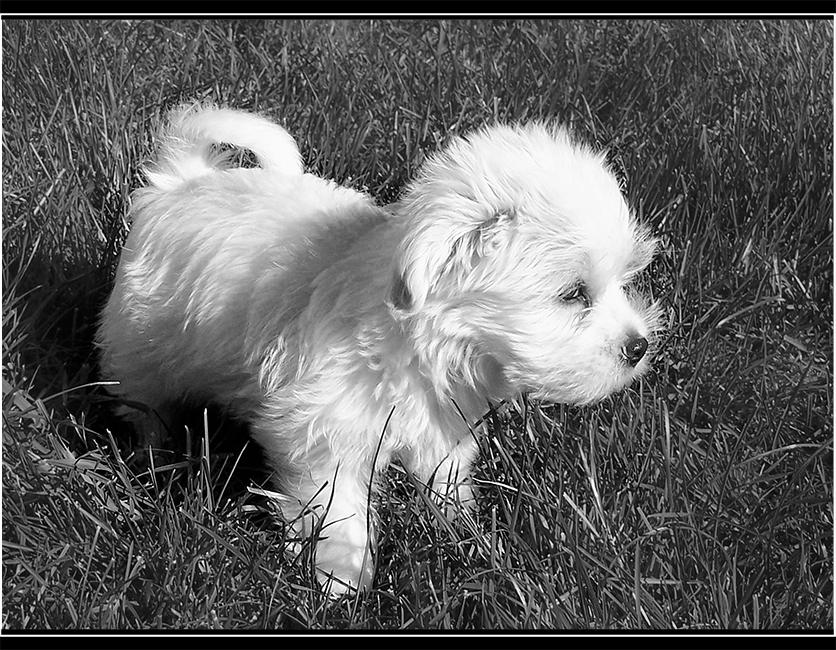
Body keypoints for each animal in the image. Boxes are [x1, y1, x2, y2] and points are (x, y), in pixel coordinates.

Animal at [98, 104, 660, 596]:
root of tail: (182, 179)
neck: (415, 337)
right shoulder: (322, 434)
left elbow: (445, 482)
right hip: (140, 346)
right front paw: (341, 582)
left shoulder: (441, 424)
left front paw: (463, 534)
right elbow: (339, 513)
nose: (639, 346)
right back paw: (153, 454)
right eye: (573, 294)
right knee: (144, 401)